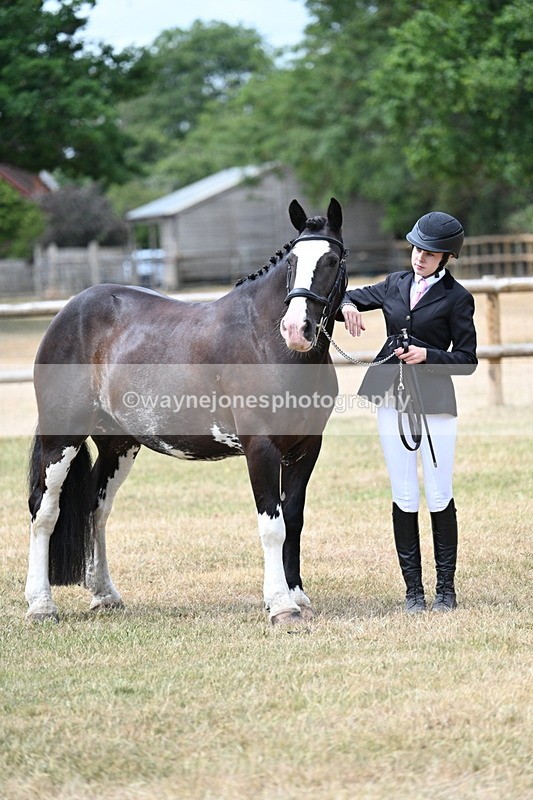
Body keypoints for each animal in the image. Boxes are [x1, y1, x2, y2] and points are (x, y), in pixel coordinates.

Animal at [25, 197, 348, 625]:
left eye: (332, 260)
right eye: (293, 261)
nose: (297, 329)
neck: (267, 342)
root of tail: (68, 313)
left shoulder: (306, 447)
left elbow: (293, 520)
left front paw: (298, 596)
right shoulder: (261, 447)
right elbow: (272, 526)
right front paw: (281, 605)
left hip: (119, 445)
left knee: (97, 508)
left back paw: (104, 594)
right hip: (61, 437)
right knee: (44, 510)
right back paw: (41, 605)